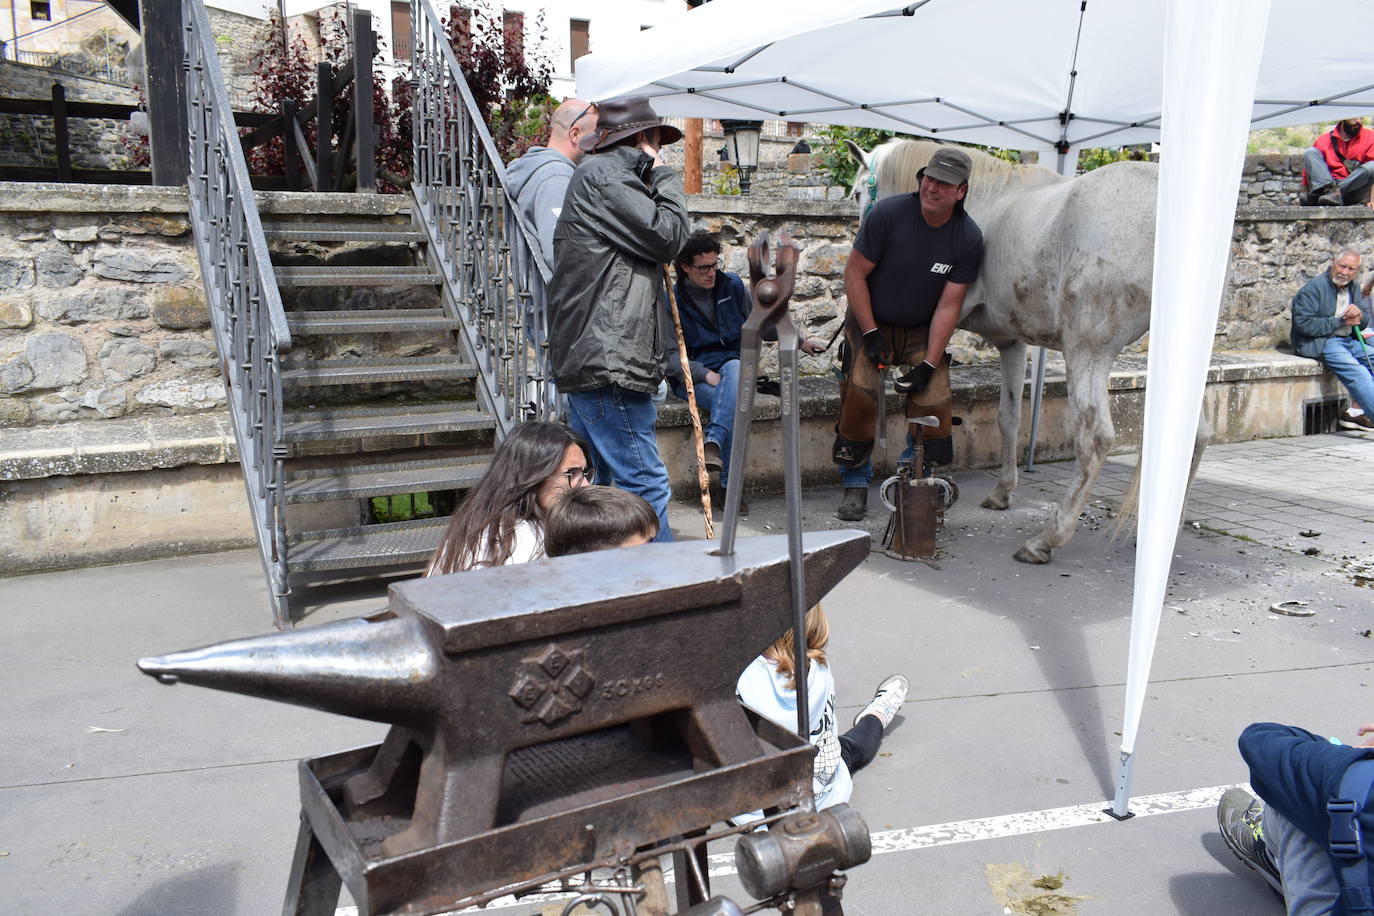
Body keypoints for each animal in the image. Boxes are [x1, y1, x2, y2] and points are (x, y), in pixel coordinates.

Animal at [846, 138, 1203, 563]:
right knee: (1197, 435)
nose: (860, 246)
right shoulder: (1010, 343)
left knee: (1095, 439)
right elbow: (1009, 417)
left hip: (1086, 353)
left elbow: (920, 396)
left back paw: (1047, 538)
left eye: (857, 193)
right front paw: (1002, 492)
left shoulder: (941, 325)